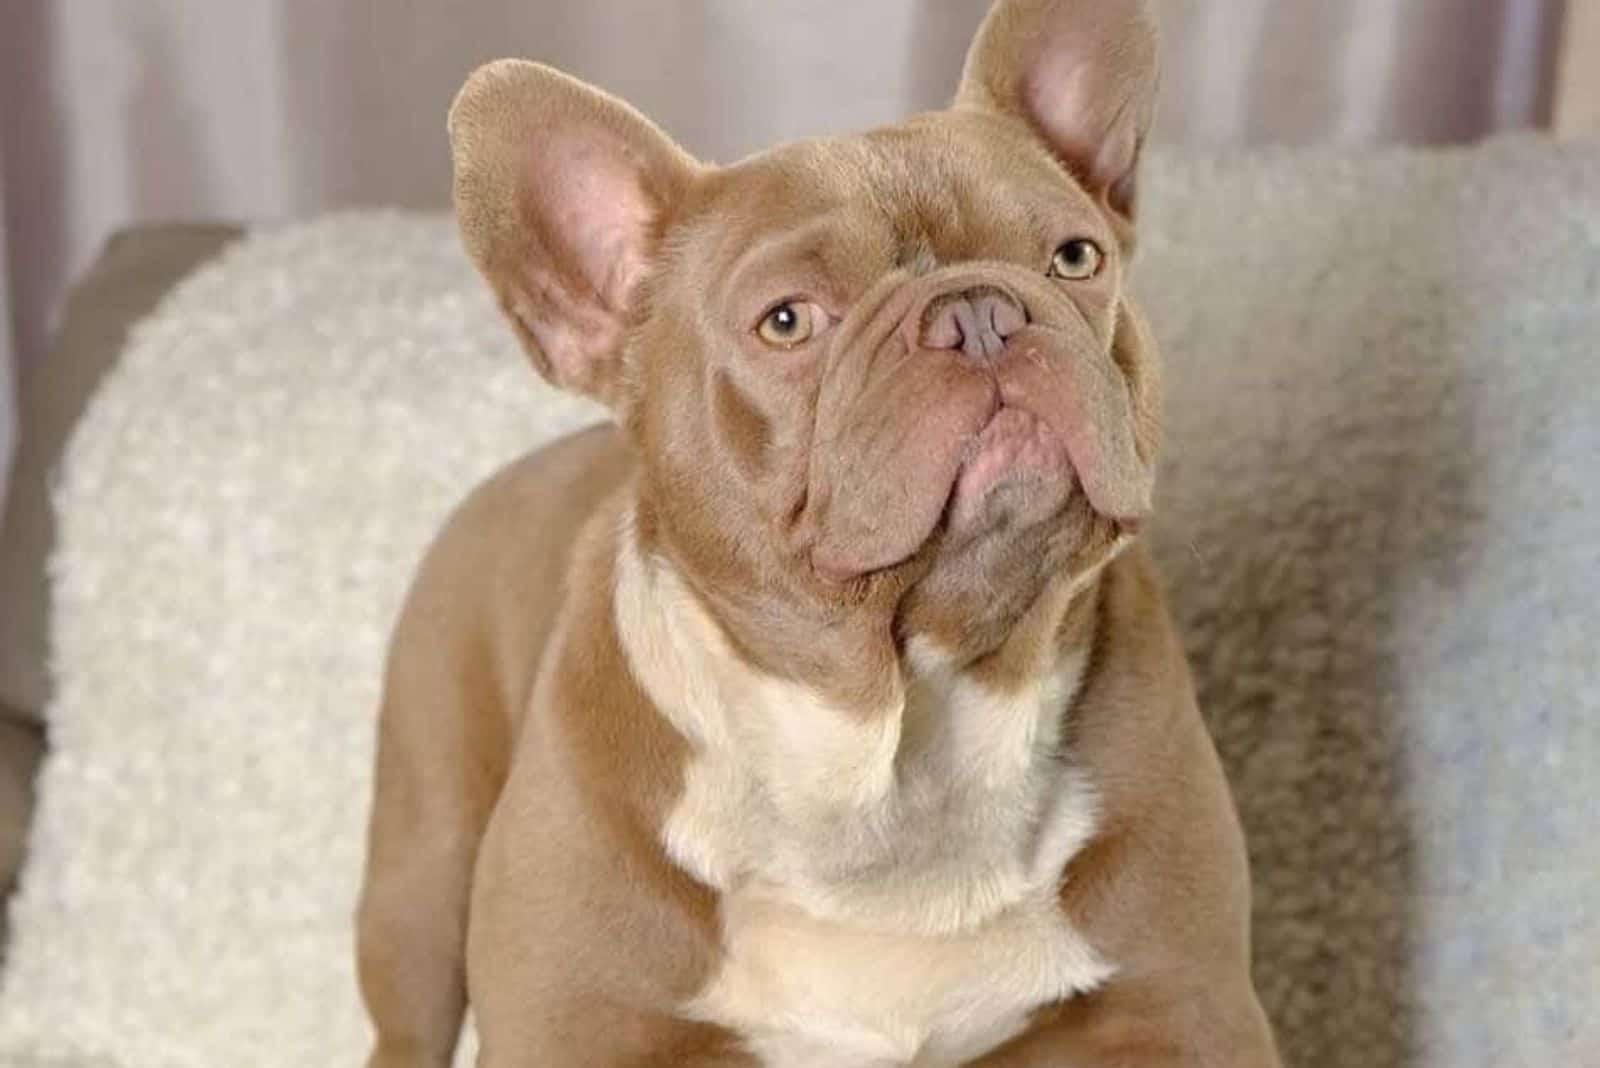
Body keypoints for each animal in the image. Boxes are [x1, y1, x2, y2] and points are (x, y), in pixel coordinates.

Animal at [356, 4, 1280, 1061]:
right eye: (789, 321)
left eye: (1077, 258)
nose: (980, 311)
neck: (893, 747)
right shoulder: (574, 1029)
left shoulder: (1187, 1002)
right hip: (422, 864)